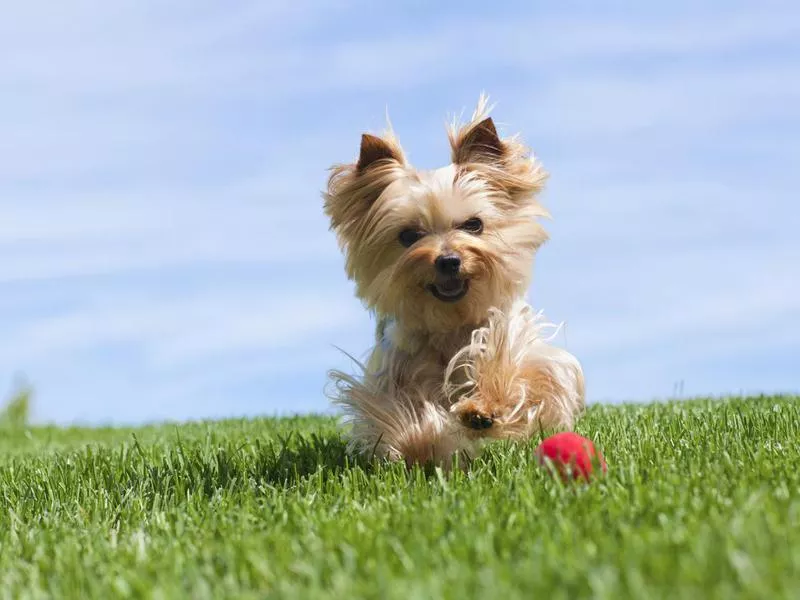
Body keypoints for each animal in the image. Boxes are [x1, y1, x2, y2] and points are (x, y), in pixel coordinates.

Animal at [322, 95, 584, 468]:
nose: (448, 260)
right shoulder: (395, 370)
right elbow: (399, 413)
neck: (450, 321)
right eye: (408, 236)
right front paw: (423, 442)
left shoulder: (519, 342)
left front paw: (483, 409)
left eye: (474, 224)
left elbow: (523, 371)